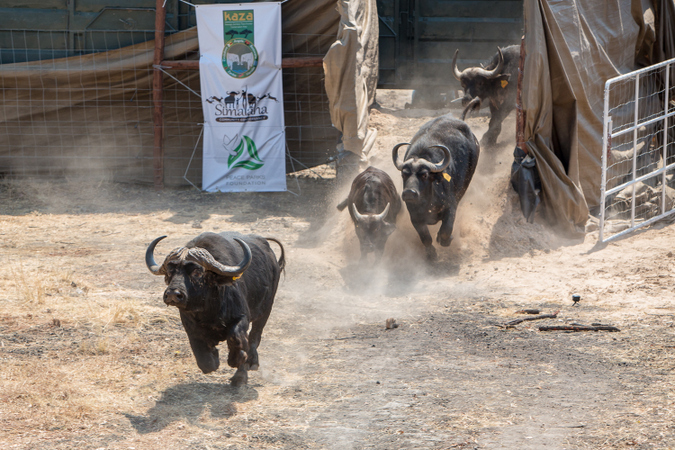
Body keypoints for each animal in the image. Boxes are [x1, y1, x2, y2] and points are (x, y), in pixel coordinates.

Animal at [145, 232, 286, 386]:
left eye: (197, 272)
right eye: (170, 271)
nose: (172, 294)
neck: (208, 309)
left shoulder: (242, 317)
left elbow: (237, 338)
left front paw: (235, 360)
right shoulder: (190, 325)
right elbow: (204, 358)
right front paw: (214, 357)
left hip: (266, 309)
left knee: (254, 336)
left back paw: (247, 367)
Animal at [390, 113, 480, 260]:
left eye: (425, 175)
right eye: (404, 174)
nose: (409, 193)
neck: (428, 202)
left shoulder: (451, 207)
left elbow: (446, 230)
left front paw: (444, 240)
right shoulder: (415, 216)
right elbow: (425, 237)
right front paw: (431, 253)